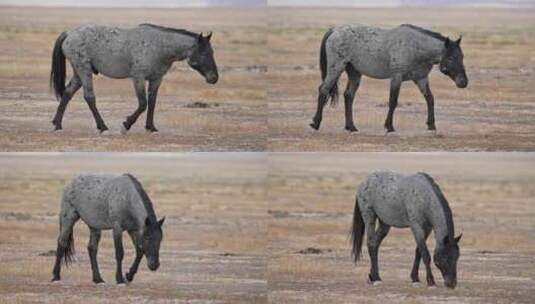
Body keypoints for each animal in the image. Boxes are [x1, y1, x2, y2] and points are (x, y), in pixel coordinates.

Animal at [49, 23, 218, 133]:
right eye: (204, 53)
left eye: (212, 52)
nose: (214, 78)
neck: (159, 46)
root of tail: (69, 34)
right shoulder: (138, 78)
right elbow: (143, 104)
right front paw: (126, 124)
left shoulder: (156, 79)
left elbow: (152, 103)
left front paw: (151, 127)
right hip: (84, 71)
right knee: (89, 97)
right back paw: (102, 126)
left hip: (79, 73)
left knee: (67, 93)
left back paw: (57, 124)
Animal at [310, 23, 468, 133]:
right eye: (451, 58)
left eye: (462, 56)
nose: (463, 82)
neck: (415, 47)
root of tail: (334, 30)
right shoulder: (396, 78)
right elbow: (393, 101)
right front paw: (389, 126)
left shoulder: (421, 79)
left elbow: (430, 99)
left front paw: (432, 125)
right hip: (336, 69)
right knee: (323, 90)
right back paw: (315, 123)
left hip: (354, 73)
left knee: (348, 95)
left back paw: (351, 127)